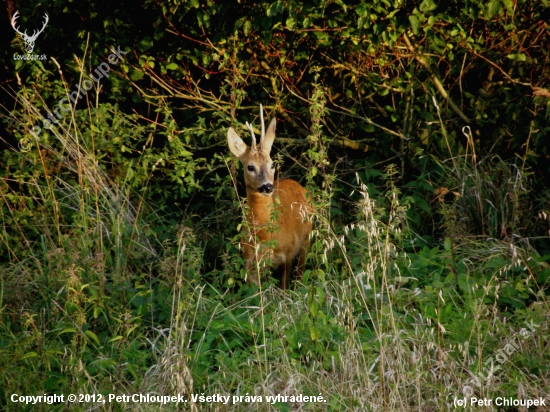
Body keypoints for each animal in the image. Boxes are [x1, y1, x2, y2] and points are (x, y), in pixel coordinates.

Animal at [227, 104, 312, 288]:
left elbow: (285, 287)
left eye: (272, 164)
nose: (267, 186)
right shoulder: (250, 263)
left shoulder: (288, 254)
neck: (265, 236)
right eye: (250, 167)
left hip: (306, 239)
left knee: (301, 272)